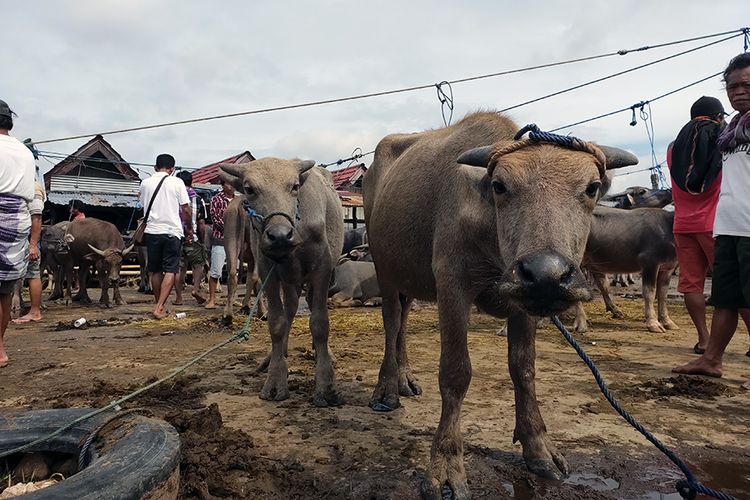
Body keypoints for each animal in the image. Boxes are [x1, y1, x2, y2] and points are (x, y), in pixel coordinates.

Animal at [219, 158, 346, 408]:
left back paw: (324, 353)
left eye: (294, 186)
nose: (279, 235)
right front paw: (276, 378)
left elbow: (320, 324)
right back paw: (274, 356)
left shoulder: (322, 269)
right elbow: (277, 323)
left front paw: (325, 384)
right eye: (249, 189)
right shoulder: (268, 269)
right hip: (287, 279)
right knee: (290, 308)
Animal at [364, 111, 640, 498]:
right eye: (500, 186)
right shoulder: (452, 284)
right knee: (391, 322)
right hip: (384, 269)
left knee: (402, 320)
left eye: (591, 188)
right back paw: (387, 389)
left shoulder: (525, 301)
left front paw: (538, 448)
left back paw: (405, 378)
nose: (547, 274)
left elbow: (523, 367)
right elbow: (455, 372)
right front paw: (445, 466)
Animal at [576, 205, 680, 334]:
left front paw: (667, 321)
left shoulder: (667, 268)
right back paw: (581, 322)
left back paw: (615, 311)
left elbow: (663, 294)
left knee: (602, 284)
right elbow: (649, 293)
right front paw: (653, 323)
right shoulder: (649, 262)